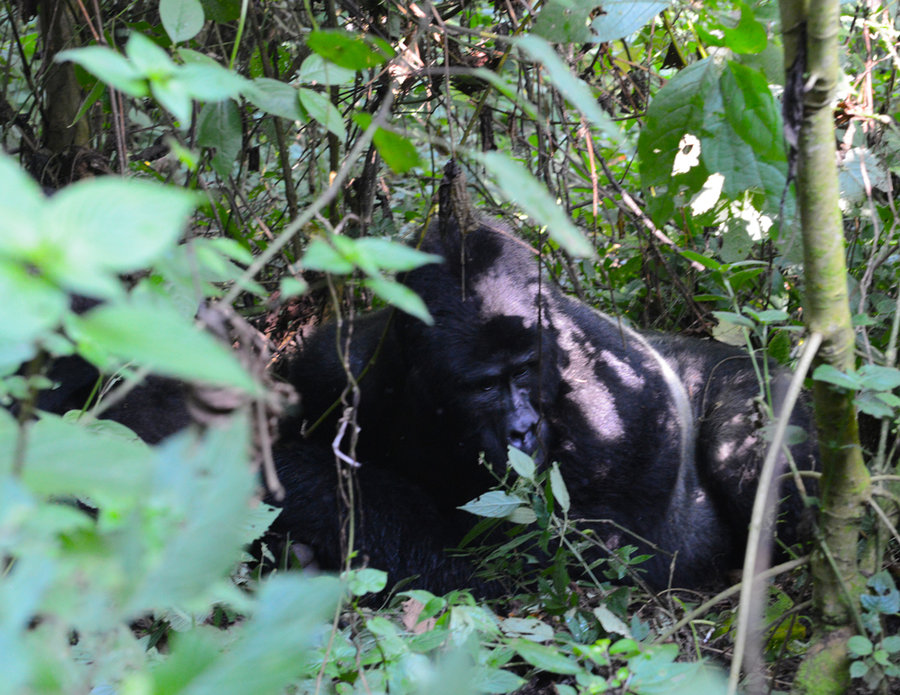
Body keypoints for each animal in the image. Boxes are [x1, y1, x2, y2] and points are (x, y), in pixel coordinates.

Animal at [274, 220, 816, 596]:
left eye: (524, 371)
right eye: (485, 385)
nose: (524, 430)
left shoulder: (620, 412)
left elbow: (552, 555)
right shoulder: (336, 369)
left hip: (766, 383)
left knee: (743, 451)